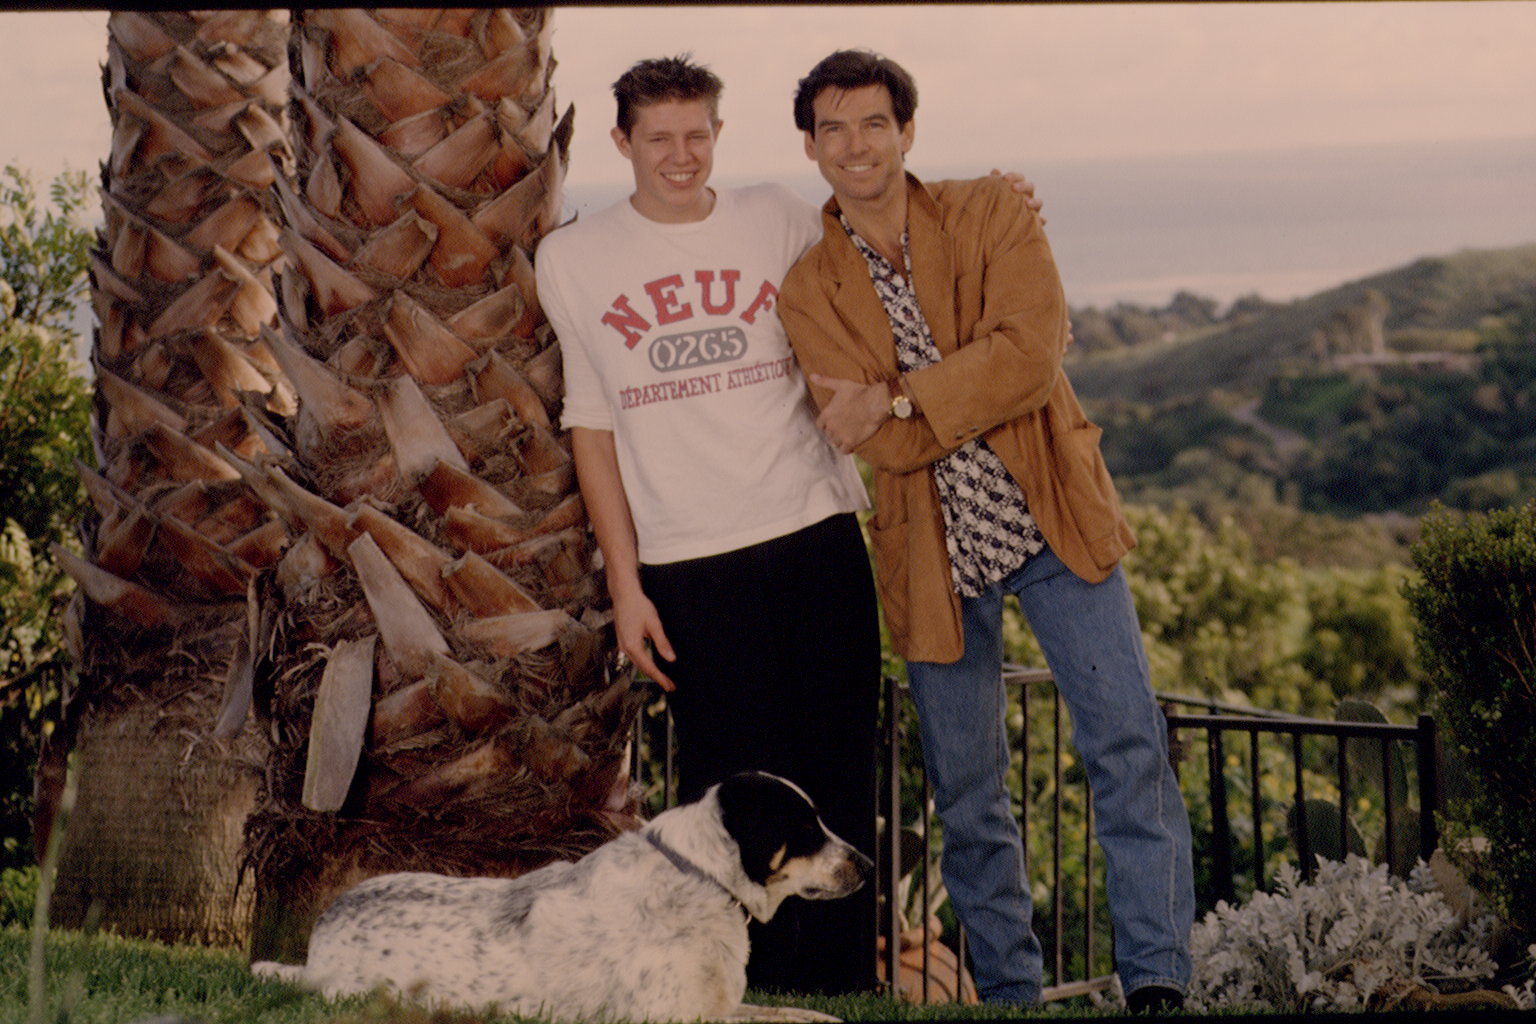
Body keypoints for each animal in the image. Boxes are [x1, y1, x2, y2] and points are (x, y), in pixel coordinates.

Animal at [256, 773, 872, 1019]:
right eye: (808, 828)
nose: (867, 865)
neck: (703, 877)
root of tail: (318, 940)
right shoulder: (671, 1017)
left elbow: (803, 1014)